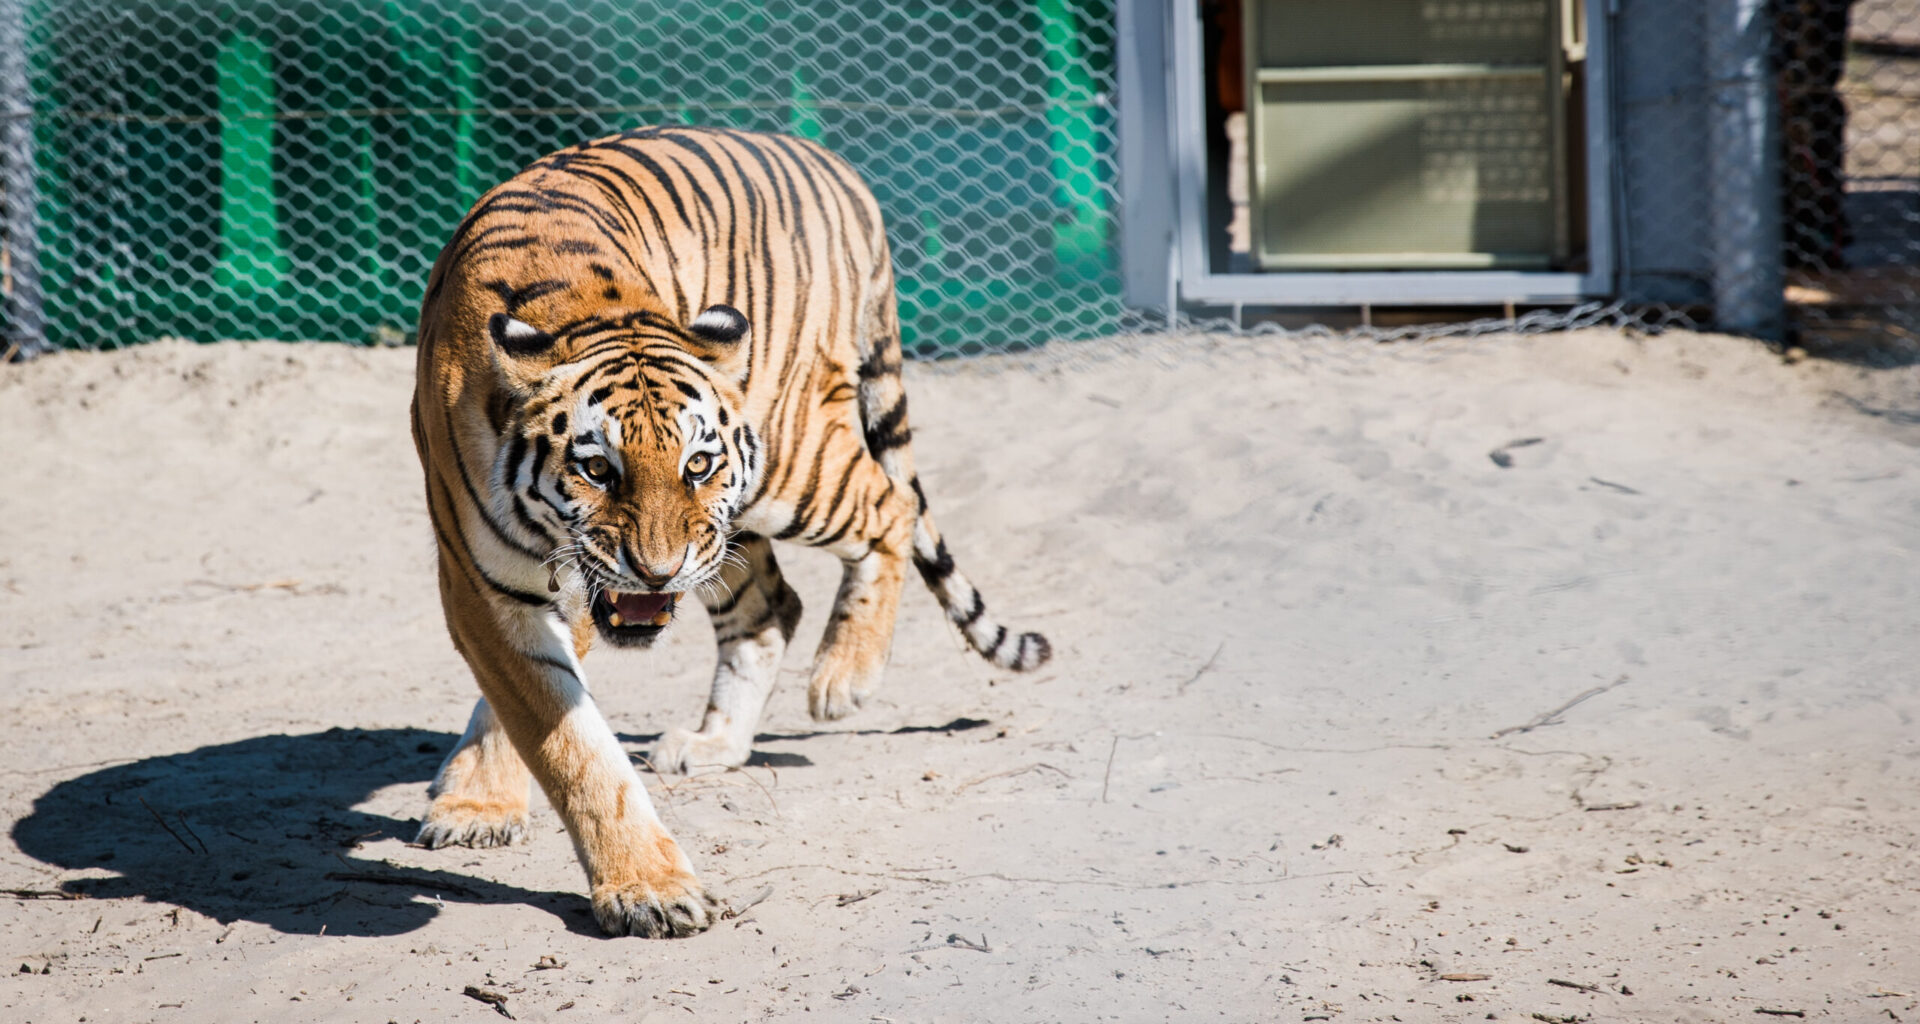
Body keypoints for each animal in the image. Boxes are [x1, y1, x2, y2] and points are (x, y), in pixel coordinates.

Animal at [407, 125, 1050, 938]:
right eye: (597, 469)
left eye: (697, 462)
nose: (656, 572)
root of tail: (833, 164)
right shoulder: (484, 583)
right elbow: (560, 736)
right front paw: (487, 806)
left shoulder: (569, 583)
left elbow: (562, 739)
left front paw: (644, 889)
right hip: (729, 528)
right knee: (773, 604)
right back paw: (716, 742)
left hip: (788, 465)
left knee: (889, 507)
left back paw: (844, 677)